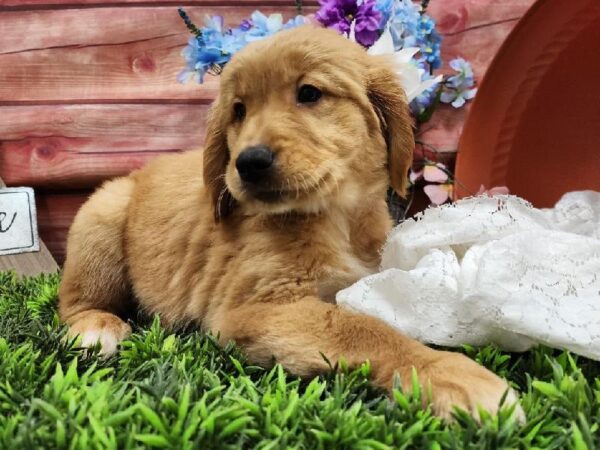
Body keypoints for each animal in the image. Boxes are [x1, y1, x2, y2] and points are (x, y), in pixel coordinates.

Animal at [58, 26, 524, 420]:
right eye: (239, 111)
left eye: (309, 93)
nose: (249, 163)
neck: (337, 217)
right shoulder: (254, 308)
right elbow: (360, 328)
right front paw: (451, 373)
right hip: (102, 216)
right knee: (74, 301)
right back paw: (96, 329)